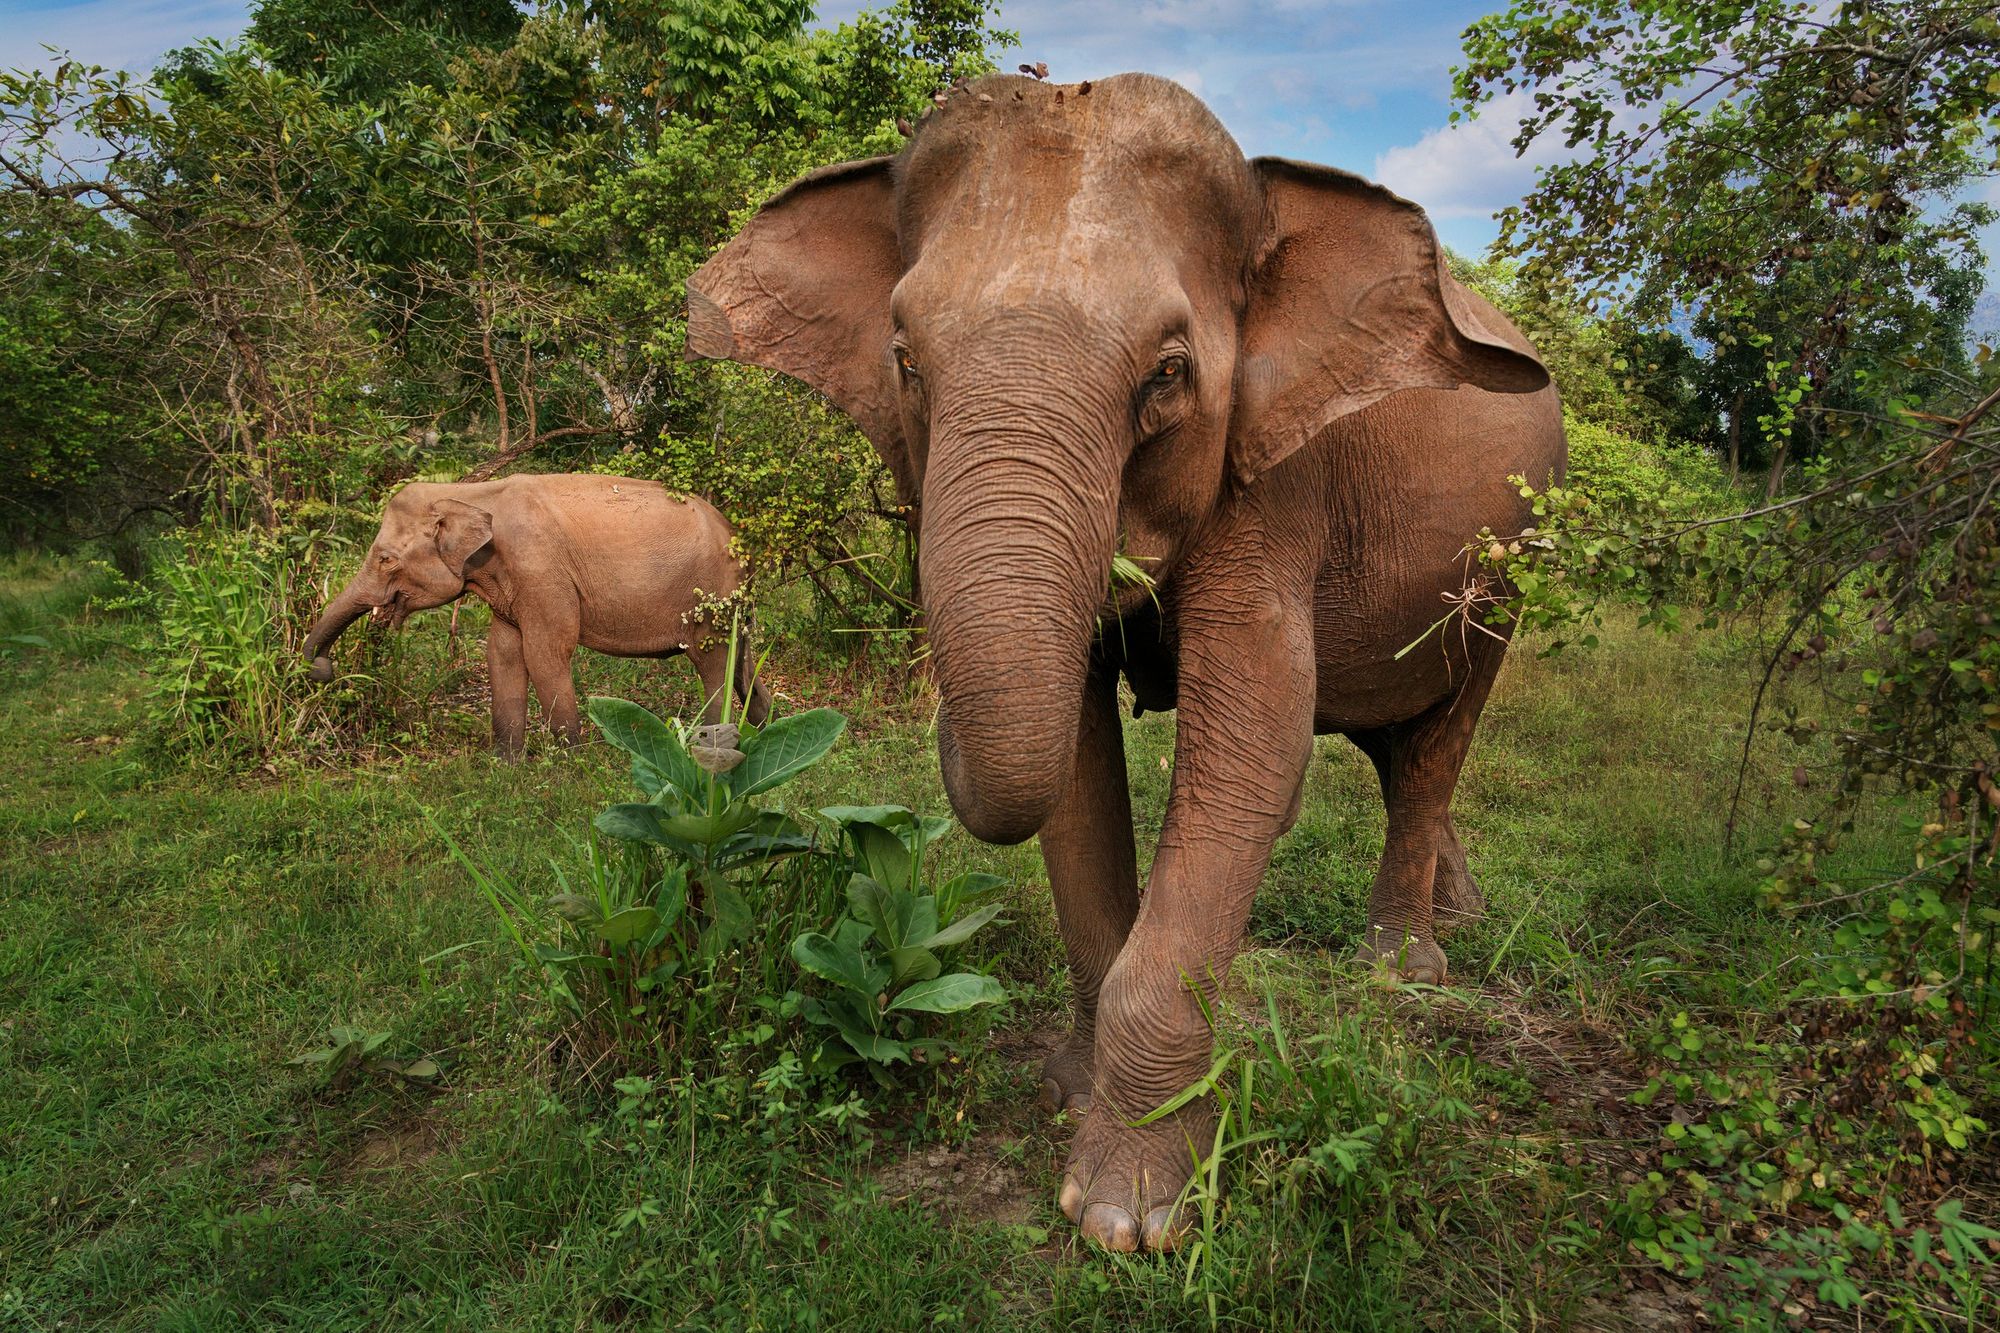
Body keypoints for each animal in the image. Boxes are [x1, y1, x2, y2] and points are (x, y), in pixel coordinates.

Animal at [301, 474, 770, 753]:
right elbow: (503, 653)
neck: (470, 492)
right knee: (745, 670)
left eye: (385, 559)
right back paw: (761, 734)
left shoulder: (540, 571)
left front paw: (568, 764)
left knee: (714, 665)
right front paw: (507, 765)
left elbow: (547, 651)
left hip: (713, 594)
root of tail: (739, 538)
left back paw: (711, 746)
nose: (322, 669)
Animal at [685, 73, 1565, 1252]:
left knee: (1434, 744)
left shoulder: (1273, 481)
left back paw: (1404, 973)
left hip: (1512, 573)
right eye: (905, 361)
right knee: (1391, 747)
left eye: (1167, 374)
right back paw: (1455, 916)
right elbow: (1076, 758)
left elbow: (1254, 741)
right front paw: (1070, 1089)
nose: (721, 740)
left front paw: (1128, 1213)